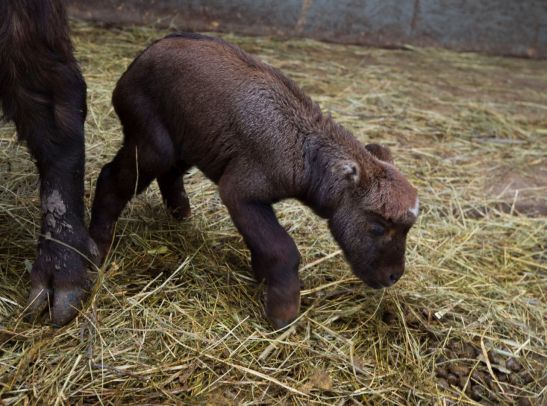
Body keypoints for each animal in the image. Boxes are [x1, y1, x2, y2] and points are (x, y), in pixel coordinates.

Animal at [92, 32, 422, 330]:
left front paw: (262, 277)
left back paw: (180, 215)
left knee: (171, 174)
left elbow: (264, 246)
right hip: (152, 142)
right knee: (111, 178)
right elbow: (282, 249)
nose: (393, 276)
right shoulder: (240, 192)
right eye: (377, 227)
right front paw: (283, 312)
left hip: (188, 141)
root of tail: (139, 60)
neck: (304, 150)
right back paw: (98, 247)